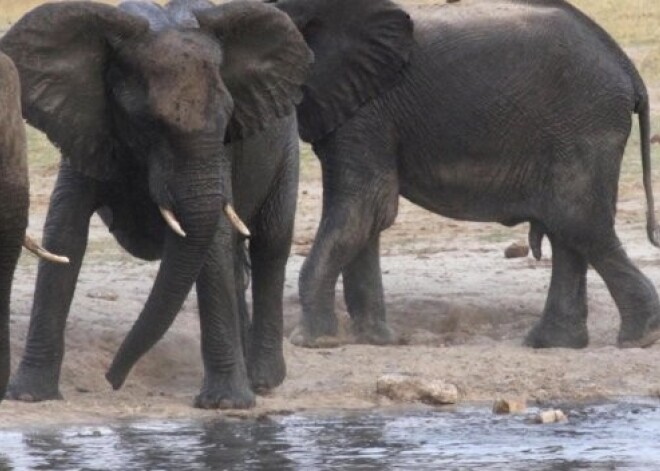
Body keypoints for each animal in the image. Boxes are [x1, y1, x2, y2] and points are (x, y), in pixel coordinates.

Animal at [1, 0, 310, 410]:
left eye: (228, 119)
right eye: (148, 122)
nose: (112, 380)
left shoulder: (220, 152)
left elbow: (211, 242)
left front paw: (225, 405)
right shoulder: (89, 126)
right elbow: (65, 233)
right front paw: (29, 396)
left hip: (286, 149)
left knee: (270, 245)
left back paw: (262, 381)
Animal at [266, 0, 660, 350]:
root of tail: (627, 68)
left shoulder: (367, 109)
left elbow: (366, 206)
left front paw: (312, 342)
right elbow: (368, 214)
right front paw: (376, 340)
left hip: (583, 122)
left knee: (577, 222)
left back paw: (639, 338)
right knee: (568, 229)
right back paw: (553, 343)